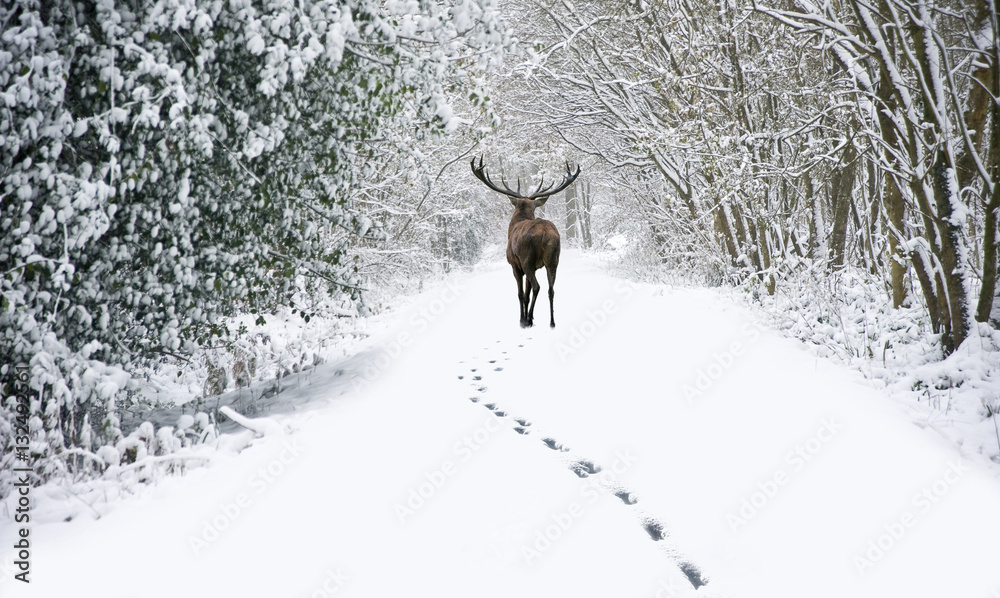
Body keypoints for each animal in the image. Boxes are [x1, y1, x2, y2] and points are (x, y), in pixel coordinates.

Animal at [471, 156, 581, 328]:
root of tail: (546, 233)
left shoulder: (515, 265)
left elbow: (521, 293)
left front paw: (522, 319)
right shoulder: (535, 266)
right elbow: (527, 294)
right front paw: (531, 317)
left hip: (527, 259)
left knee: (537, 286)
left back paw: (527, 319)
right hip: (554, 259)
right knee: (551, 289)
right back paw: (552, 322)